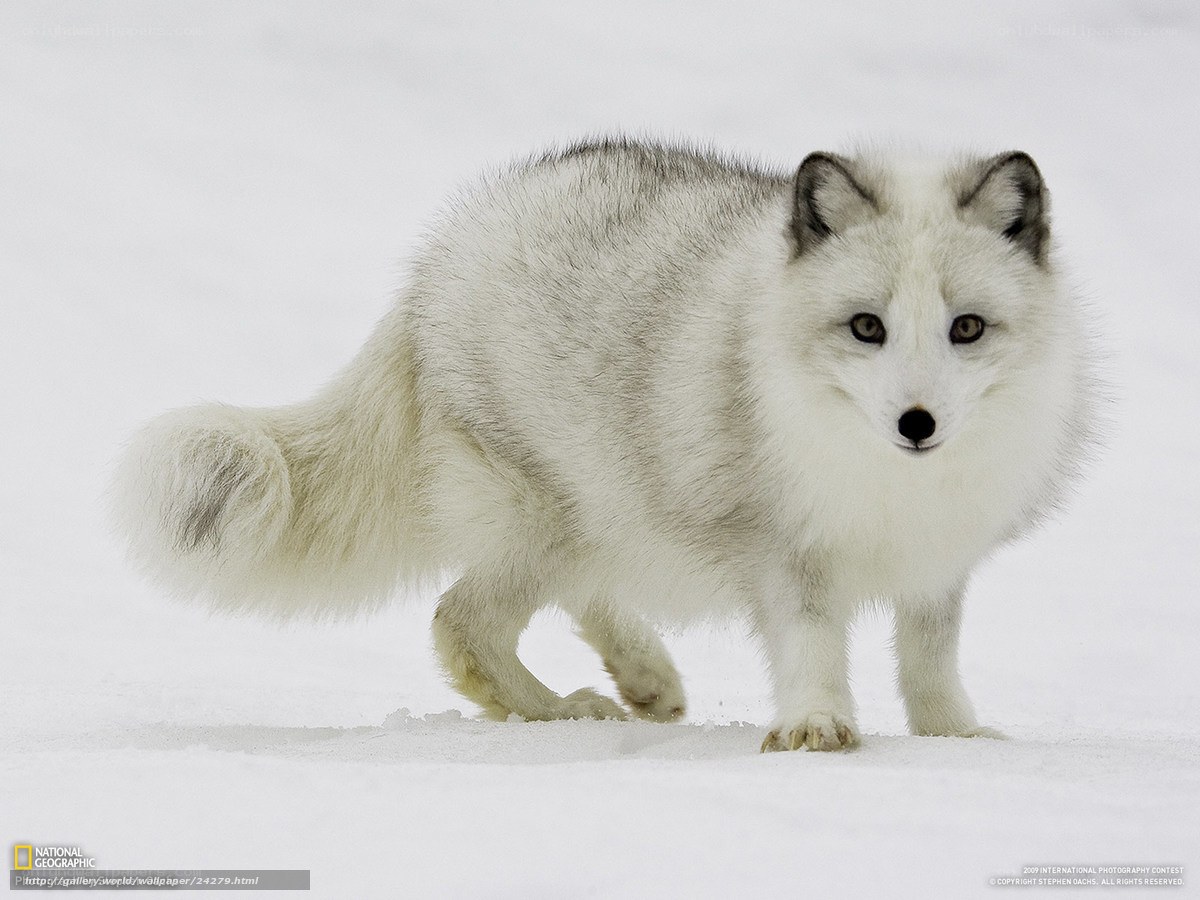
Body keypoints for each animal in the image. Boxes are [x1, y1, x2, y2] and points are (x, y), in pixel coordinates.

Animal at [113, 138, 1098, 751]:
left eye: (966, 327)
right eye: (867, 327)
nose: (916, 424)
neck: (889, 482)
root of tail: (442, 253)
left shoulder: (938, 561)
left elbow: (930, 660)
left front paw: (955, 739)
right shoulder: (785, 551)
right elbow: (814, 646)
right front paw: (817, 729)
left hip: (602, 513)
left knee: (573, 598)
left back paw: (645, 680)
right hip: (550, 516)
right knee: (459, 624)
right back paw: (563, 714)